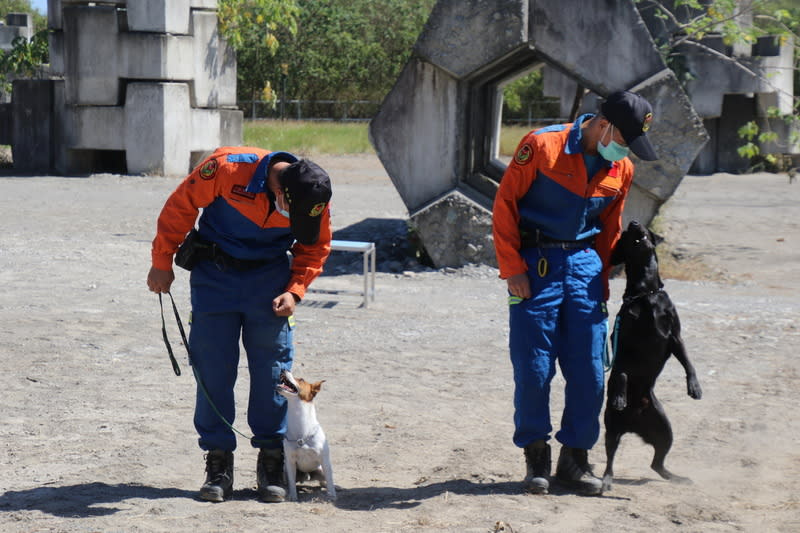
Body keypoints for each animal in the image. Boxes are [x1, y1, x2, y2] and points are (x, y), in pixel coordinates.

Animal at [276, 370, 336, 498]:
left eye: (301, 379)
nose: (283, 370)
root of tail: (308, 475)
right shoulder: (290, 462)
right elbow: (292, 483)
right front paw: (293, 497)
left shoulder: (325, 461)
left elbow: (330, 481)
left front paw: (332, 496)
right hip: (285, 470)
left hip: (321, 469)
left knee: (324, 481)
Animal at [604, 219, 704, 490]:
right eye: (625, 235)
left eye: (643, 232)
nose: (633, 222)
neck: (645, 293)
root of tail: (633, 424)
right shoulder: (622, 341)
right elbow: (621, 372)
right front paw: (619, 396)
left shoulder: (675, 337)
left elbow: (688, 363)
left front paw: (695, 387)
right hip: (611, 428)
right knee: (610, 458)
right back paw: (606, 480)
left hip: (664, 429)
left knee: (657, 463)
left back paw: (677, 477)